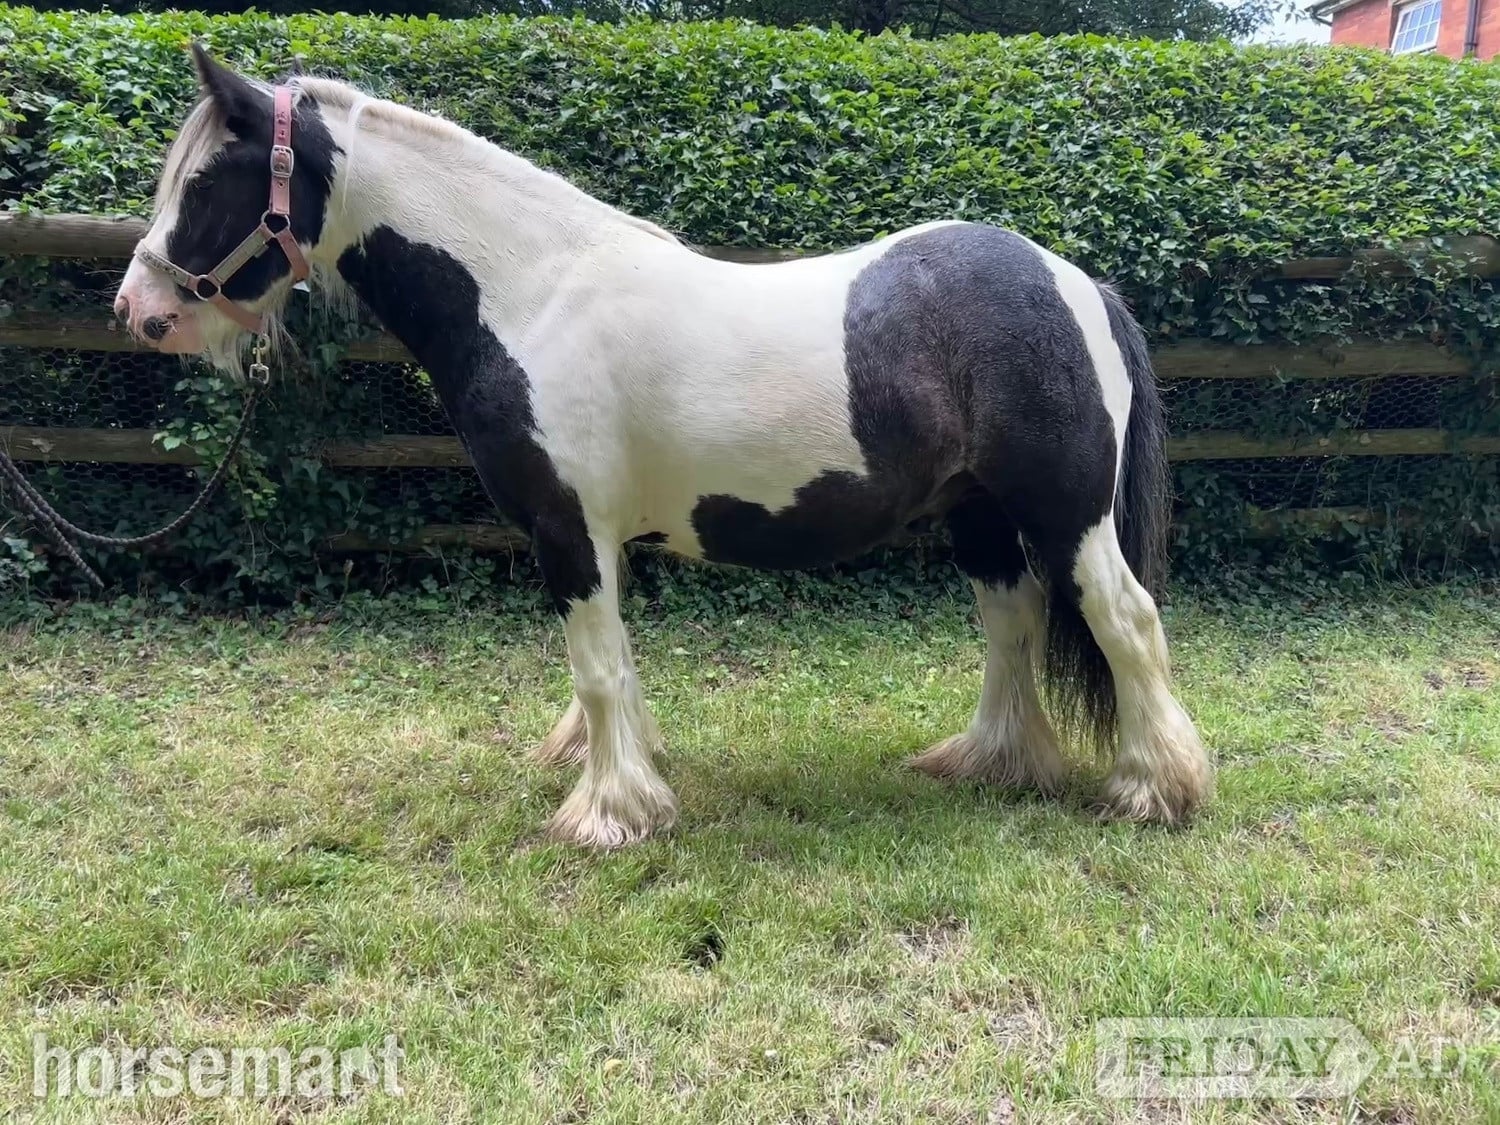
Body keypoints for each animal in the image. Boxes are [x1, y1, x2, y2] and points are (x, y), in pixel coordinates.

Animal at [113, 46, 1212, 848]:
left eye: (206, 179)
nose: (138, 309)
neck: (531, 293)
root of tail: (1073, 282)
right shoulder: (595, 537)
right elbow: (611, 666)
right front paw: (622, 781)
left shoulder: (566, 529)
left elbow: (598, 668)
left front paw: (610, 817)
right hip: (979, 515)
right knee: (1012, 621)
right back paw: (992, 761)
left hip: (1064, 512)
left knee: (1124, 620)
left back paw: (1155, 791)